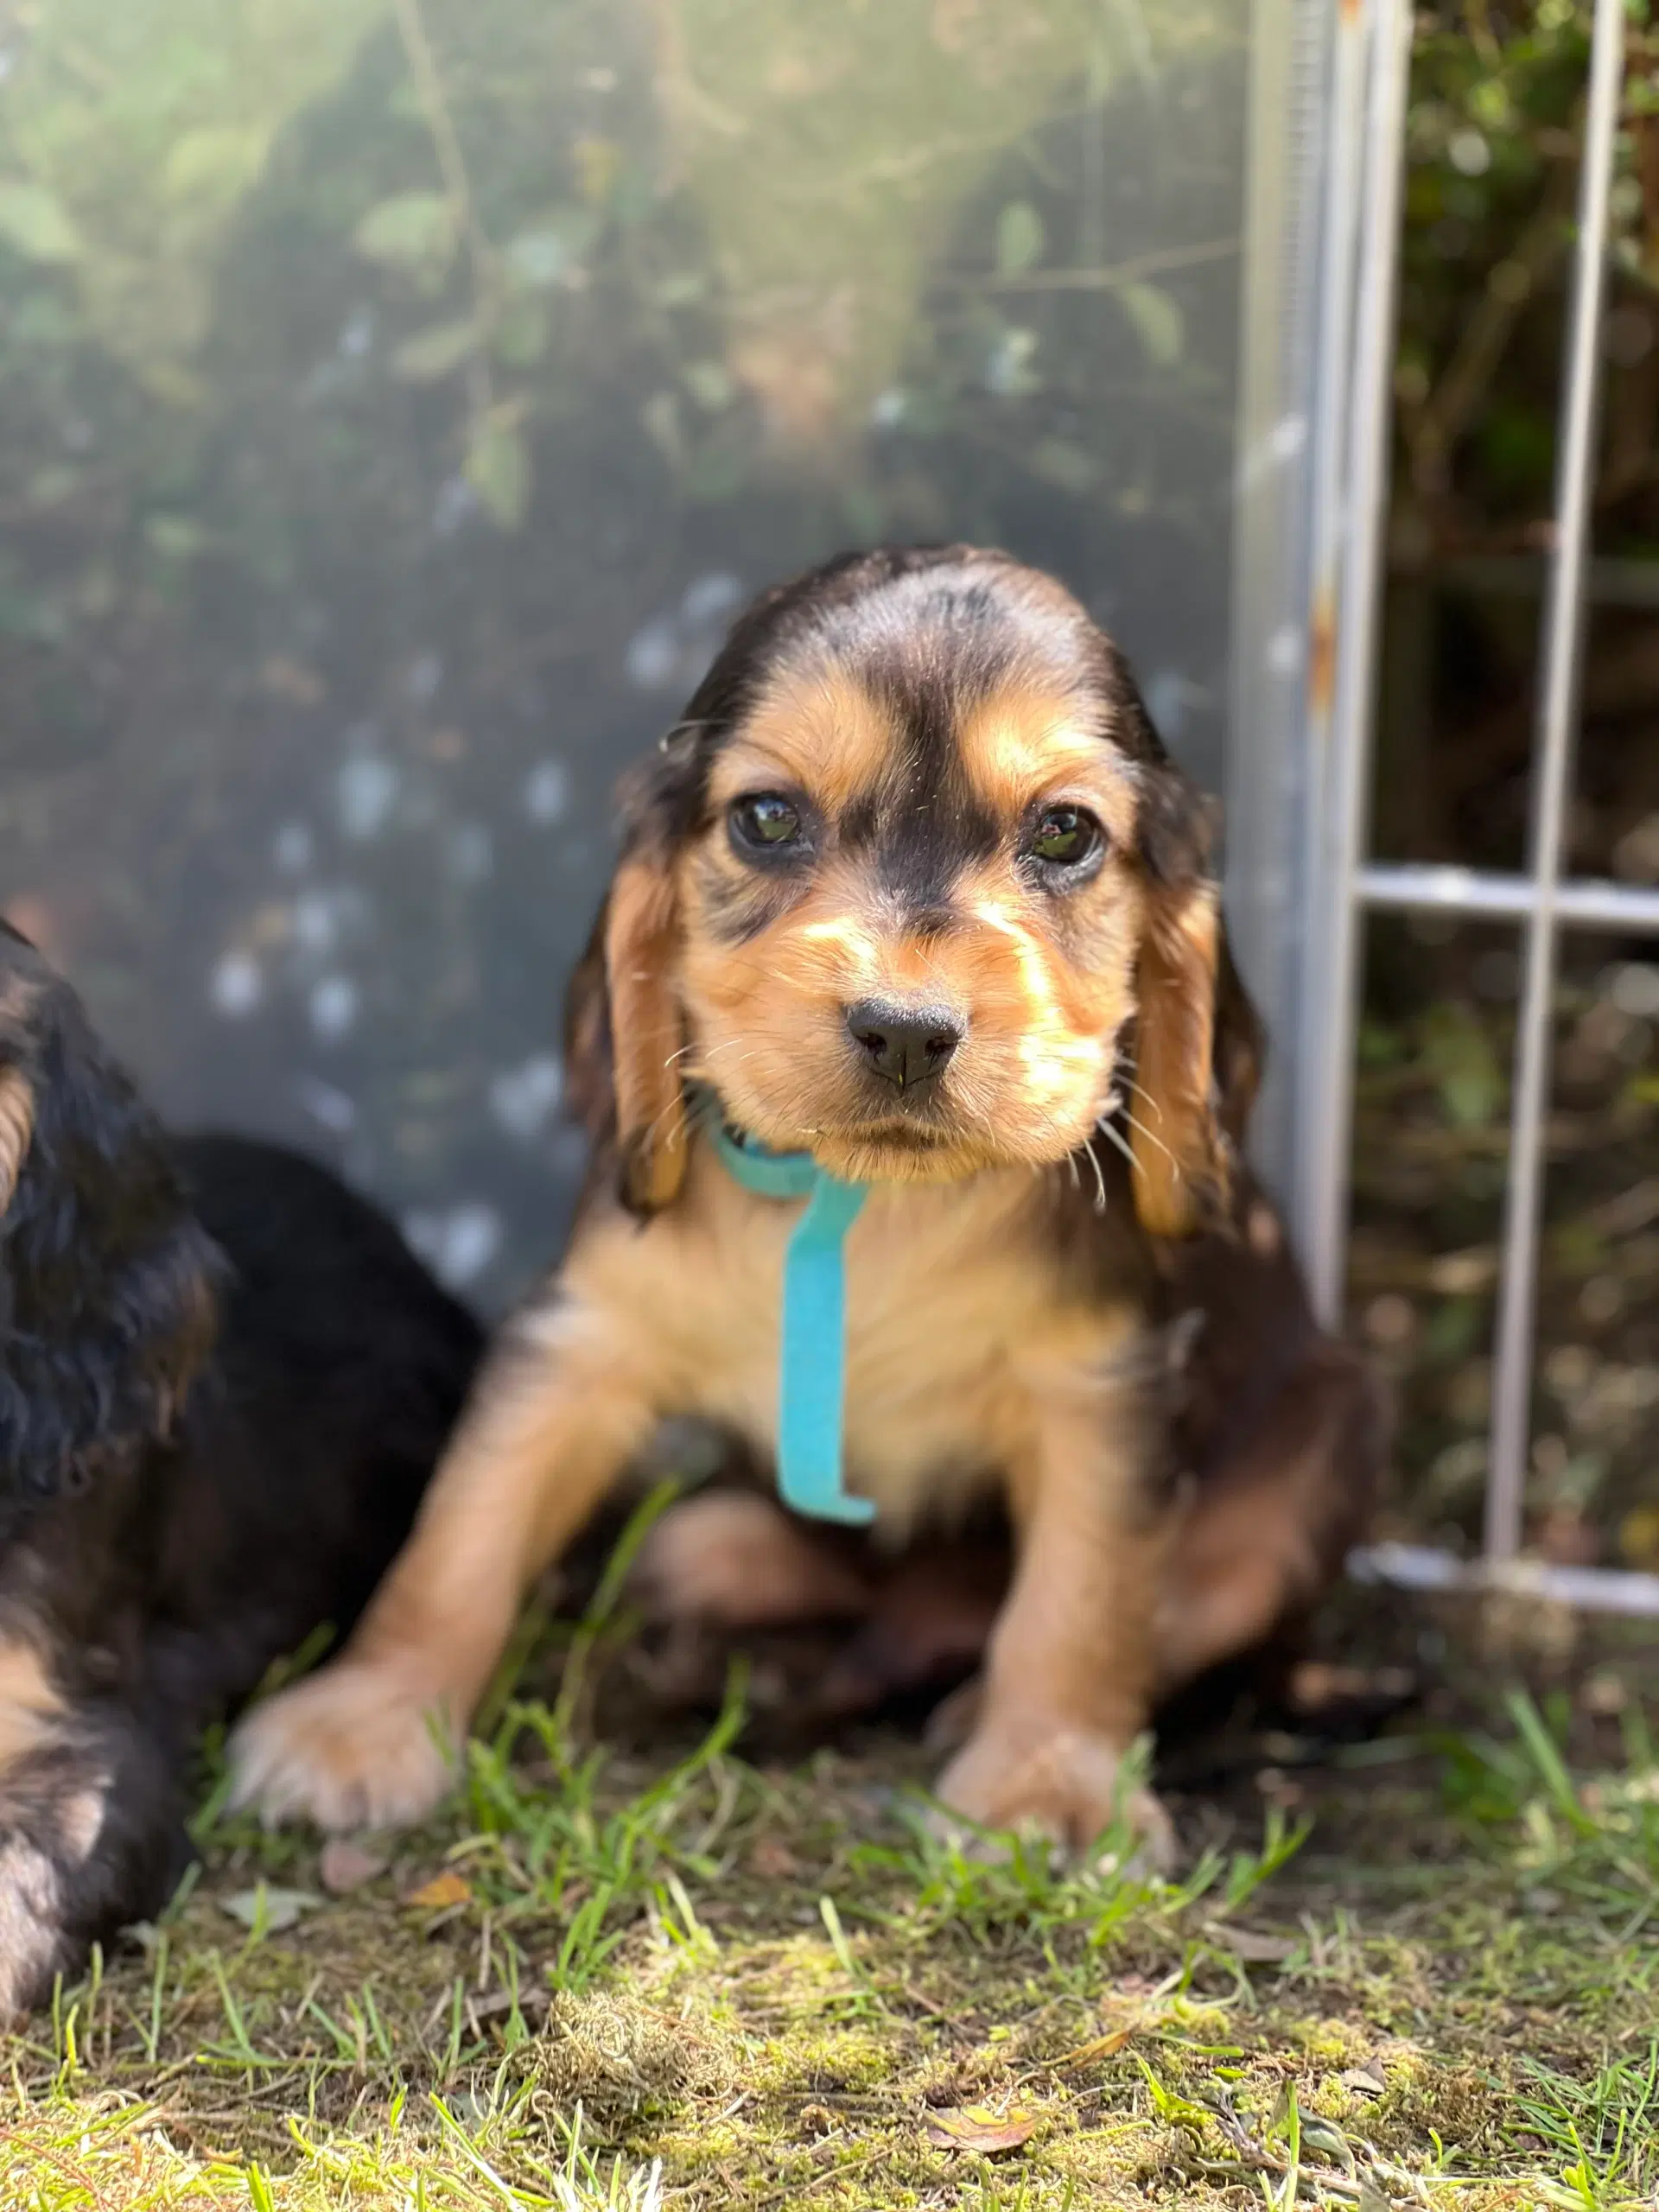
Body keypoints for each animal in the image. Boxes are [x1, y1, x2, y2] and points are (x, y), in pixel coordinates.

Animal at [227, 548, 1380, 1849]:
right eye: (767, 818)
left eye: (1067, 831)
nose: (907, 1031)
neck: (869, 1198)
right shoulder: (581, 1335)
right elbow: (464, 1525)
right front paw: (361, 1719)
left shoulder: (1104, 1385)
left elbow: (1084, 1599)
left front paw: (1047, 1782)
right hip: (703, 1535)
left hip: (1320, 1447)